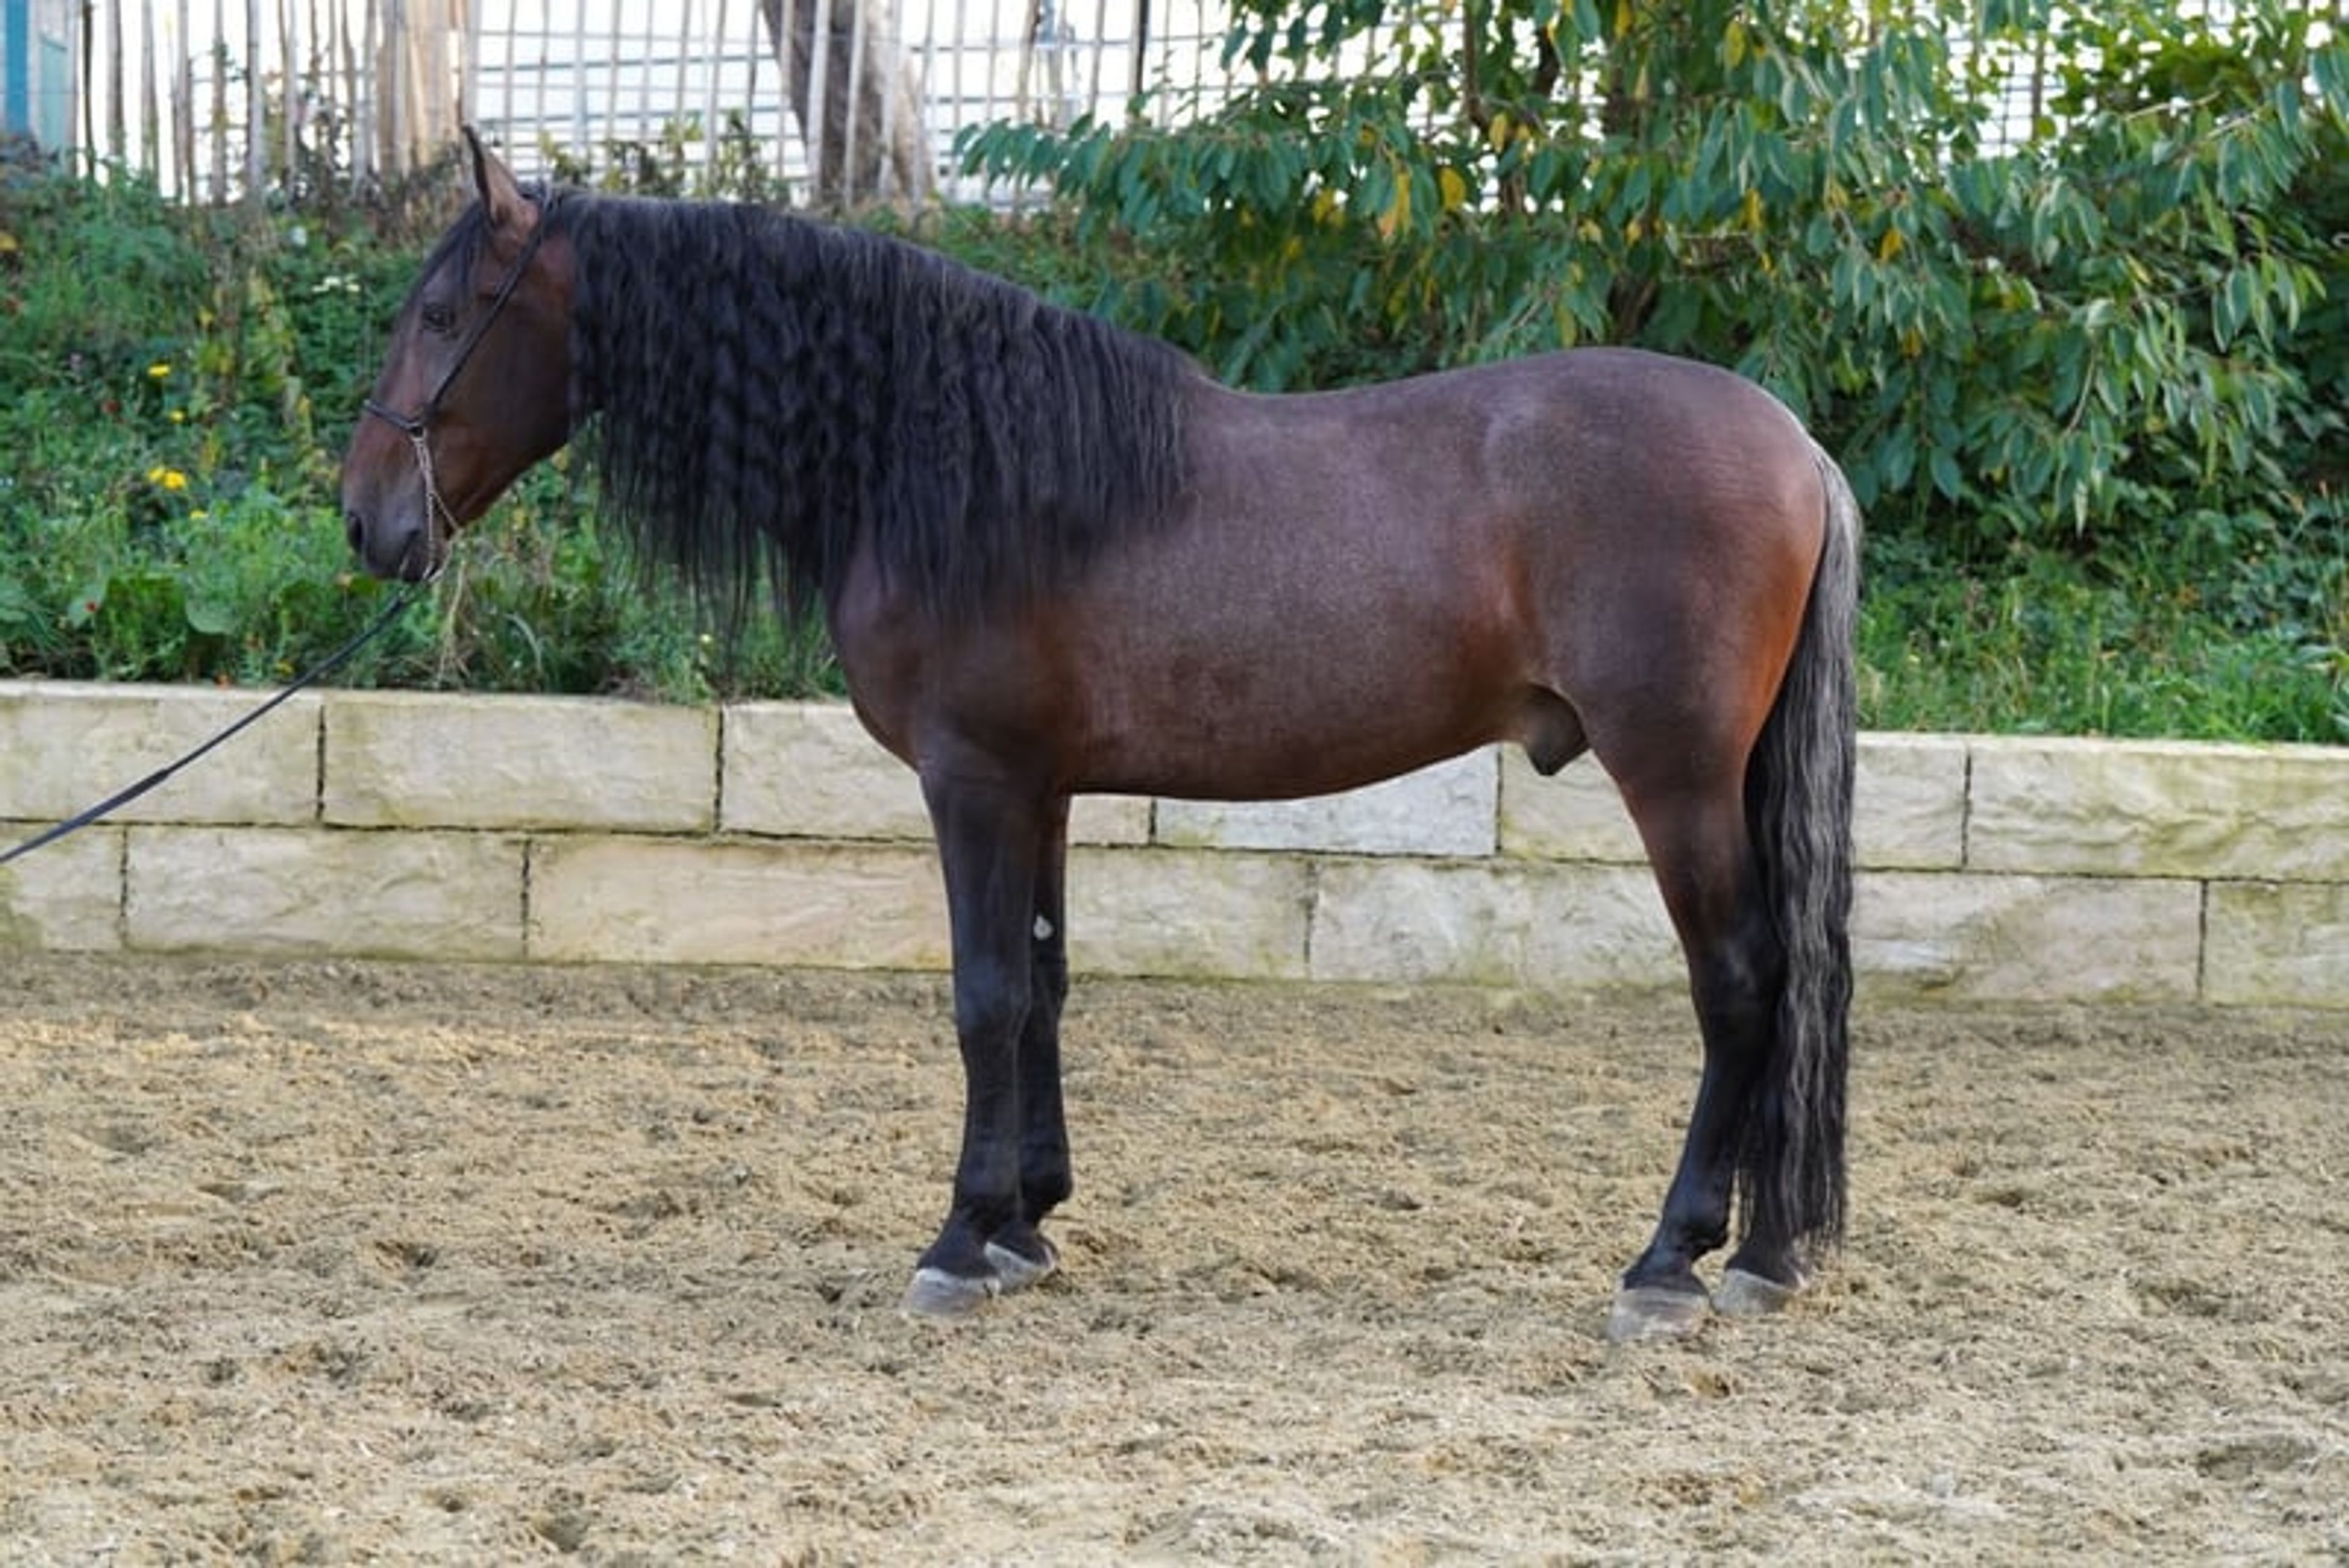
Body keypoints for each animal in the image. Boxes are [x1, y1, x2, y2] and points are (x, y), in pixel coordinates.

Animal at [340, 130, 1859, 1343]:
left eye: (442, 311)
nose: (367, 521)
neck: (950, 463)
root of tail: (1796, 445)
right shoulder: (1044, 789)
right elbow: (1046, 985)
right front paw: (1027, 1223)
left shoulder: (973, 781)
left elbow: (983, 995)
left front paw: (959, 1241)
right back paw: (1768, 1252)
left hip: (1675, 777)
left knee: (1741, 986)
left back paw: (1671, 1263)